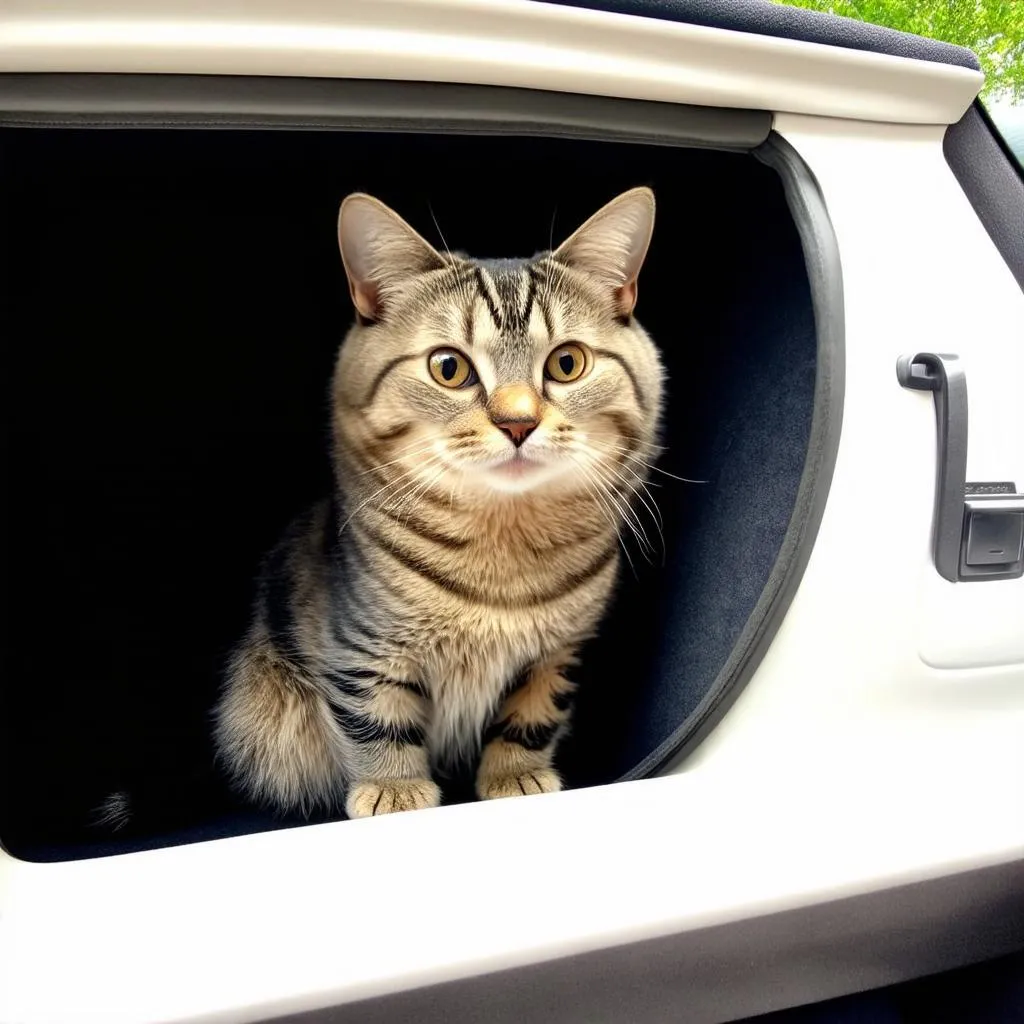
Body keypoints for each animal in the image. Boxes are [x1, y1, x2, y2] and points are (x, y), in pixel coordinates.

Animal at [214, 188, 663, 819]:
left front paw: (517, 775)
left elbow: (533, 715)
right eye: (449, 368)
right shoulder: (361, 645)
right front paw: (396, 791)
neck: (503, 545)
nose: (518, 423)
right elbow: (377, 719)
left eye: (567, 363)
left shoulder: (558, 653)